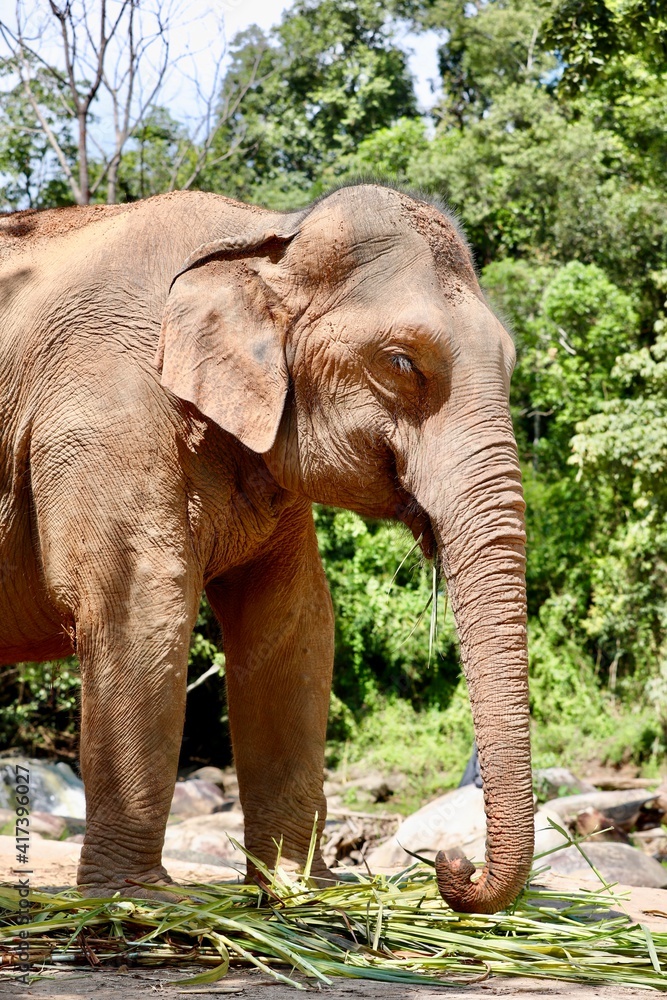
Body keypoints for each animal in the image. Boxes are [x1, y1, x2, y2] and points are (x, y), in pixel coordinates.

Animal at [0, 183, 533, 913]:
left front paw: (299, 890)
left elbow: (294, 622)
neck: (268, 234)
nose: (449, 864)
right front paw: (142, 902)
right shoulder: (105, 411)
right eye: (401, 362)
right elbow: (142, 605)